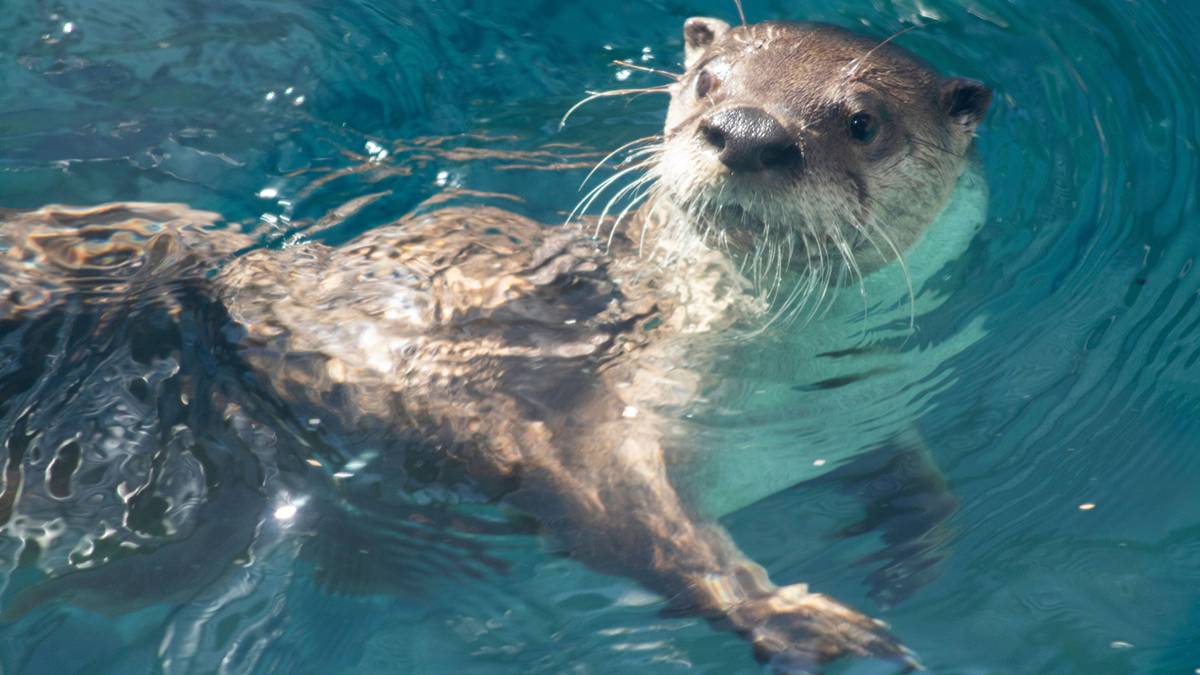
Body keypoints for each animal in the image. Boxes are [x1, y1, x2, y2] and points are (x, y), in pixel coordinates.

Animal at [0, 17, 990, 674]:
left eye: (862, 120)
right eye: (710, 83)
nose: (749, 132)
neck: (779, 382)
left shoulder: (878, 403)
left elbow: (918, 469)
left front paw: (917, 547)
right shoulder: (590, 433)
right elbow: (641, 532)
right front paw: (792, 615)